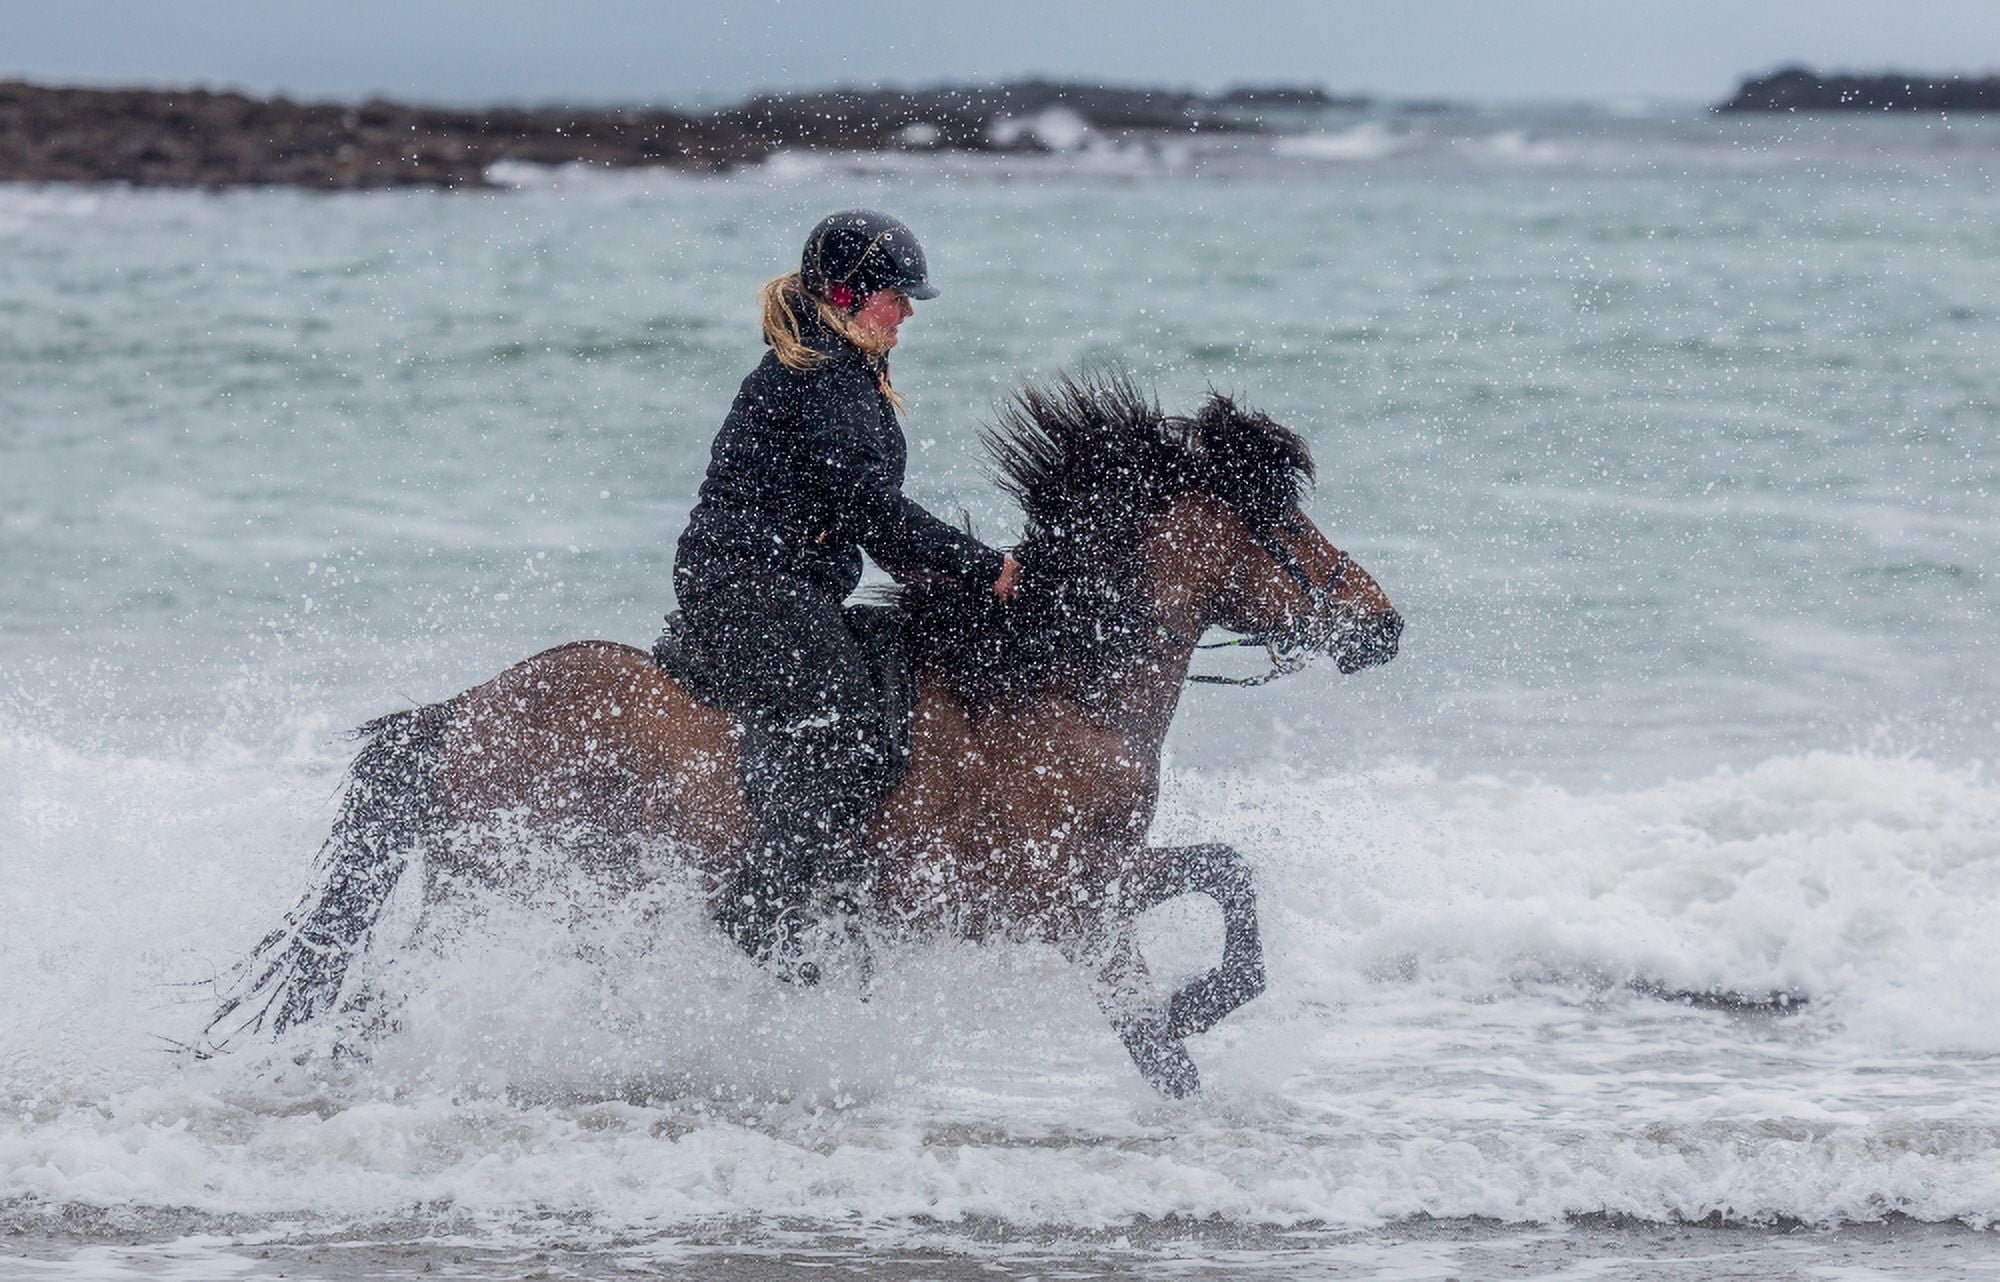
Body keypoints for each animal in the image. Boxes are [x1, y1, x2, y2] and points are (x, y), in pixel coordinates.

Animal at [203, 375, 1403, 1096]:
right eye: (1282, 522)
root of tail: (461, 713)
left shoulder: (1090, 892)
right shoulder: (1062, 896)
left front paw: (1193, 1028)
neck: (1048, 688)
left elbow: (1212, 916)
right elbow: (1199, 944)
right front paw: (1197, 1007)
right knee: (384, 1004)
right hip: (508, 893)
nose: (1383, 623)